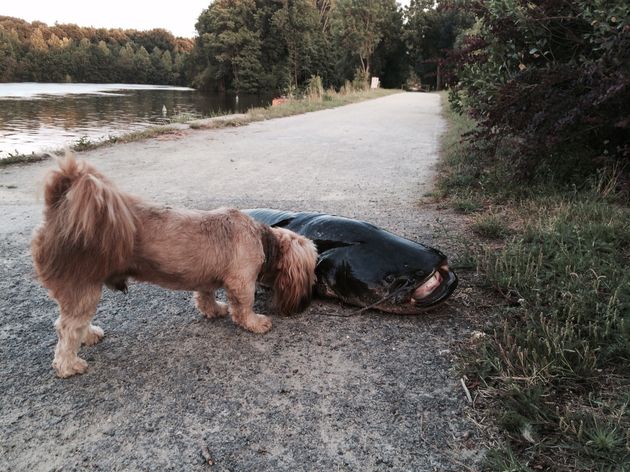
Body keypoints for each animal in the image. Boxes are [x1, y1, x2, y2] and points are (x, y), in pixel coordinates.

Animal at [32, 153, 318, 378]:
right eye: (312, 268)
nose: (312, 289)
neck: (262, 238)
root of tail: (57, 210)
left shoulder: (206, 278)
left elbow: (205, 296)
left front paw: (213, 309)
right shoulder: (241, 281)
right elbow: (244, 306)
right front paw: (255, 322)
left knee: (75, 323)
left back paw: (89, 335)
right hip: (82, 285)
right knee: (67, 328)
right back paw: (69, 364)